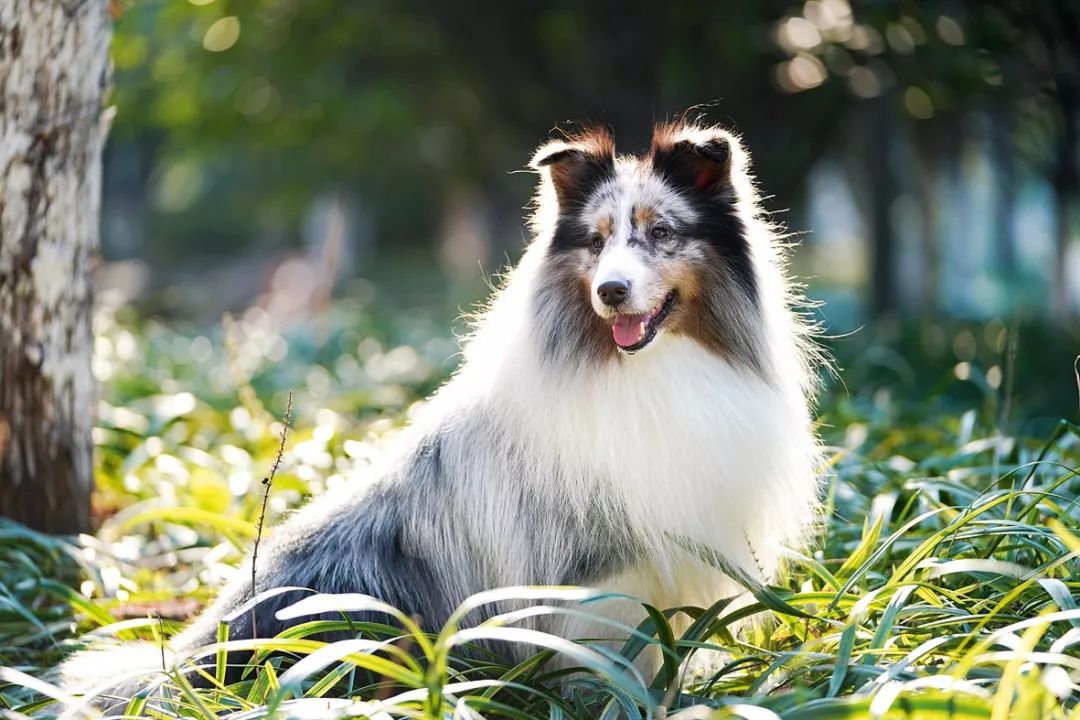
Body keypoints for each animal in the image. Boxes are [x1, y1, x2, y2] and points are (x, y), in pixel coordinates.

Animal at [61, 118, 816, 703]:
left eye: (660, 233)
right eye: (596, 242)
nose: (611, 291)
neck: (647, 370)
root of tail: (192, 665)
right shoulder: (596, 567)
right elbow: (613, 665)